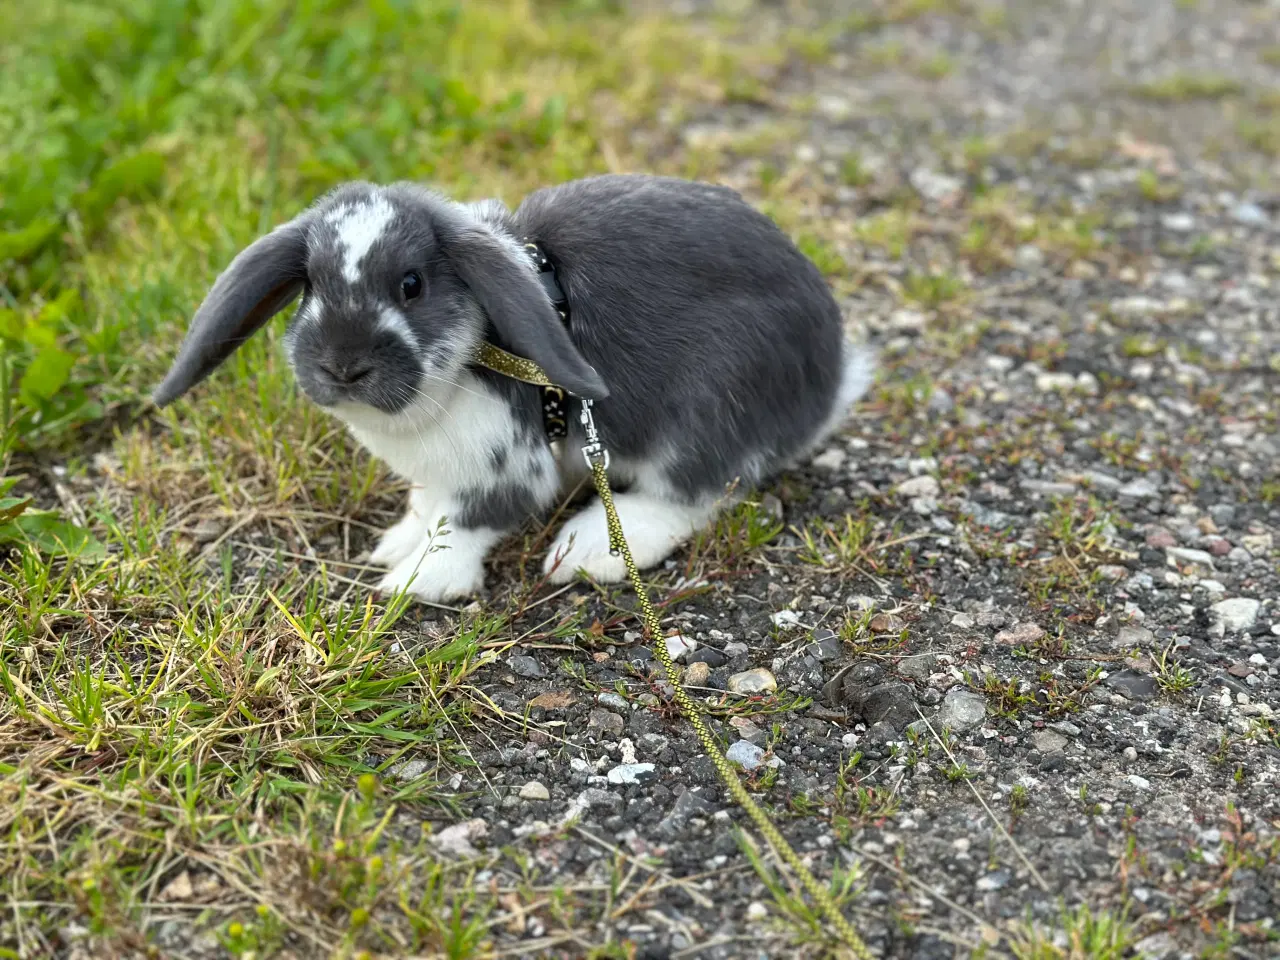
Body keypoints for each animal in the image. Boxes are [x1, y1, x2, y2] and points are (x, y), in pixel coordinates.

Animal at [147, 175, 870, 601]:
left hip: (706, 412)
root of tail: (831, 374)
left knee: (696, 493)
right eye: (311, 287)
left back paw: (591, 549)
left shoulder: (506, 468)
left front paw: (414, 582)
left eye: (412, 284)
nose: (343, 367)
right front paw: (397, 542)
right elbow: (427, 507)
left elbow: (463, 524)